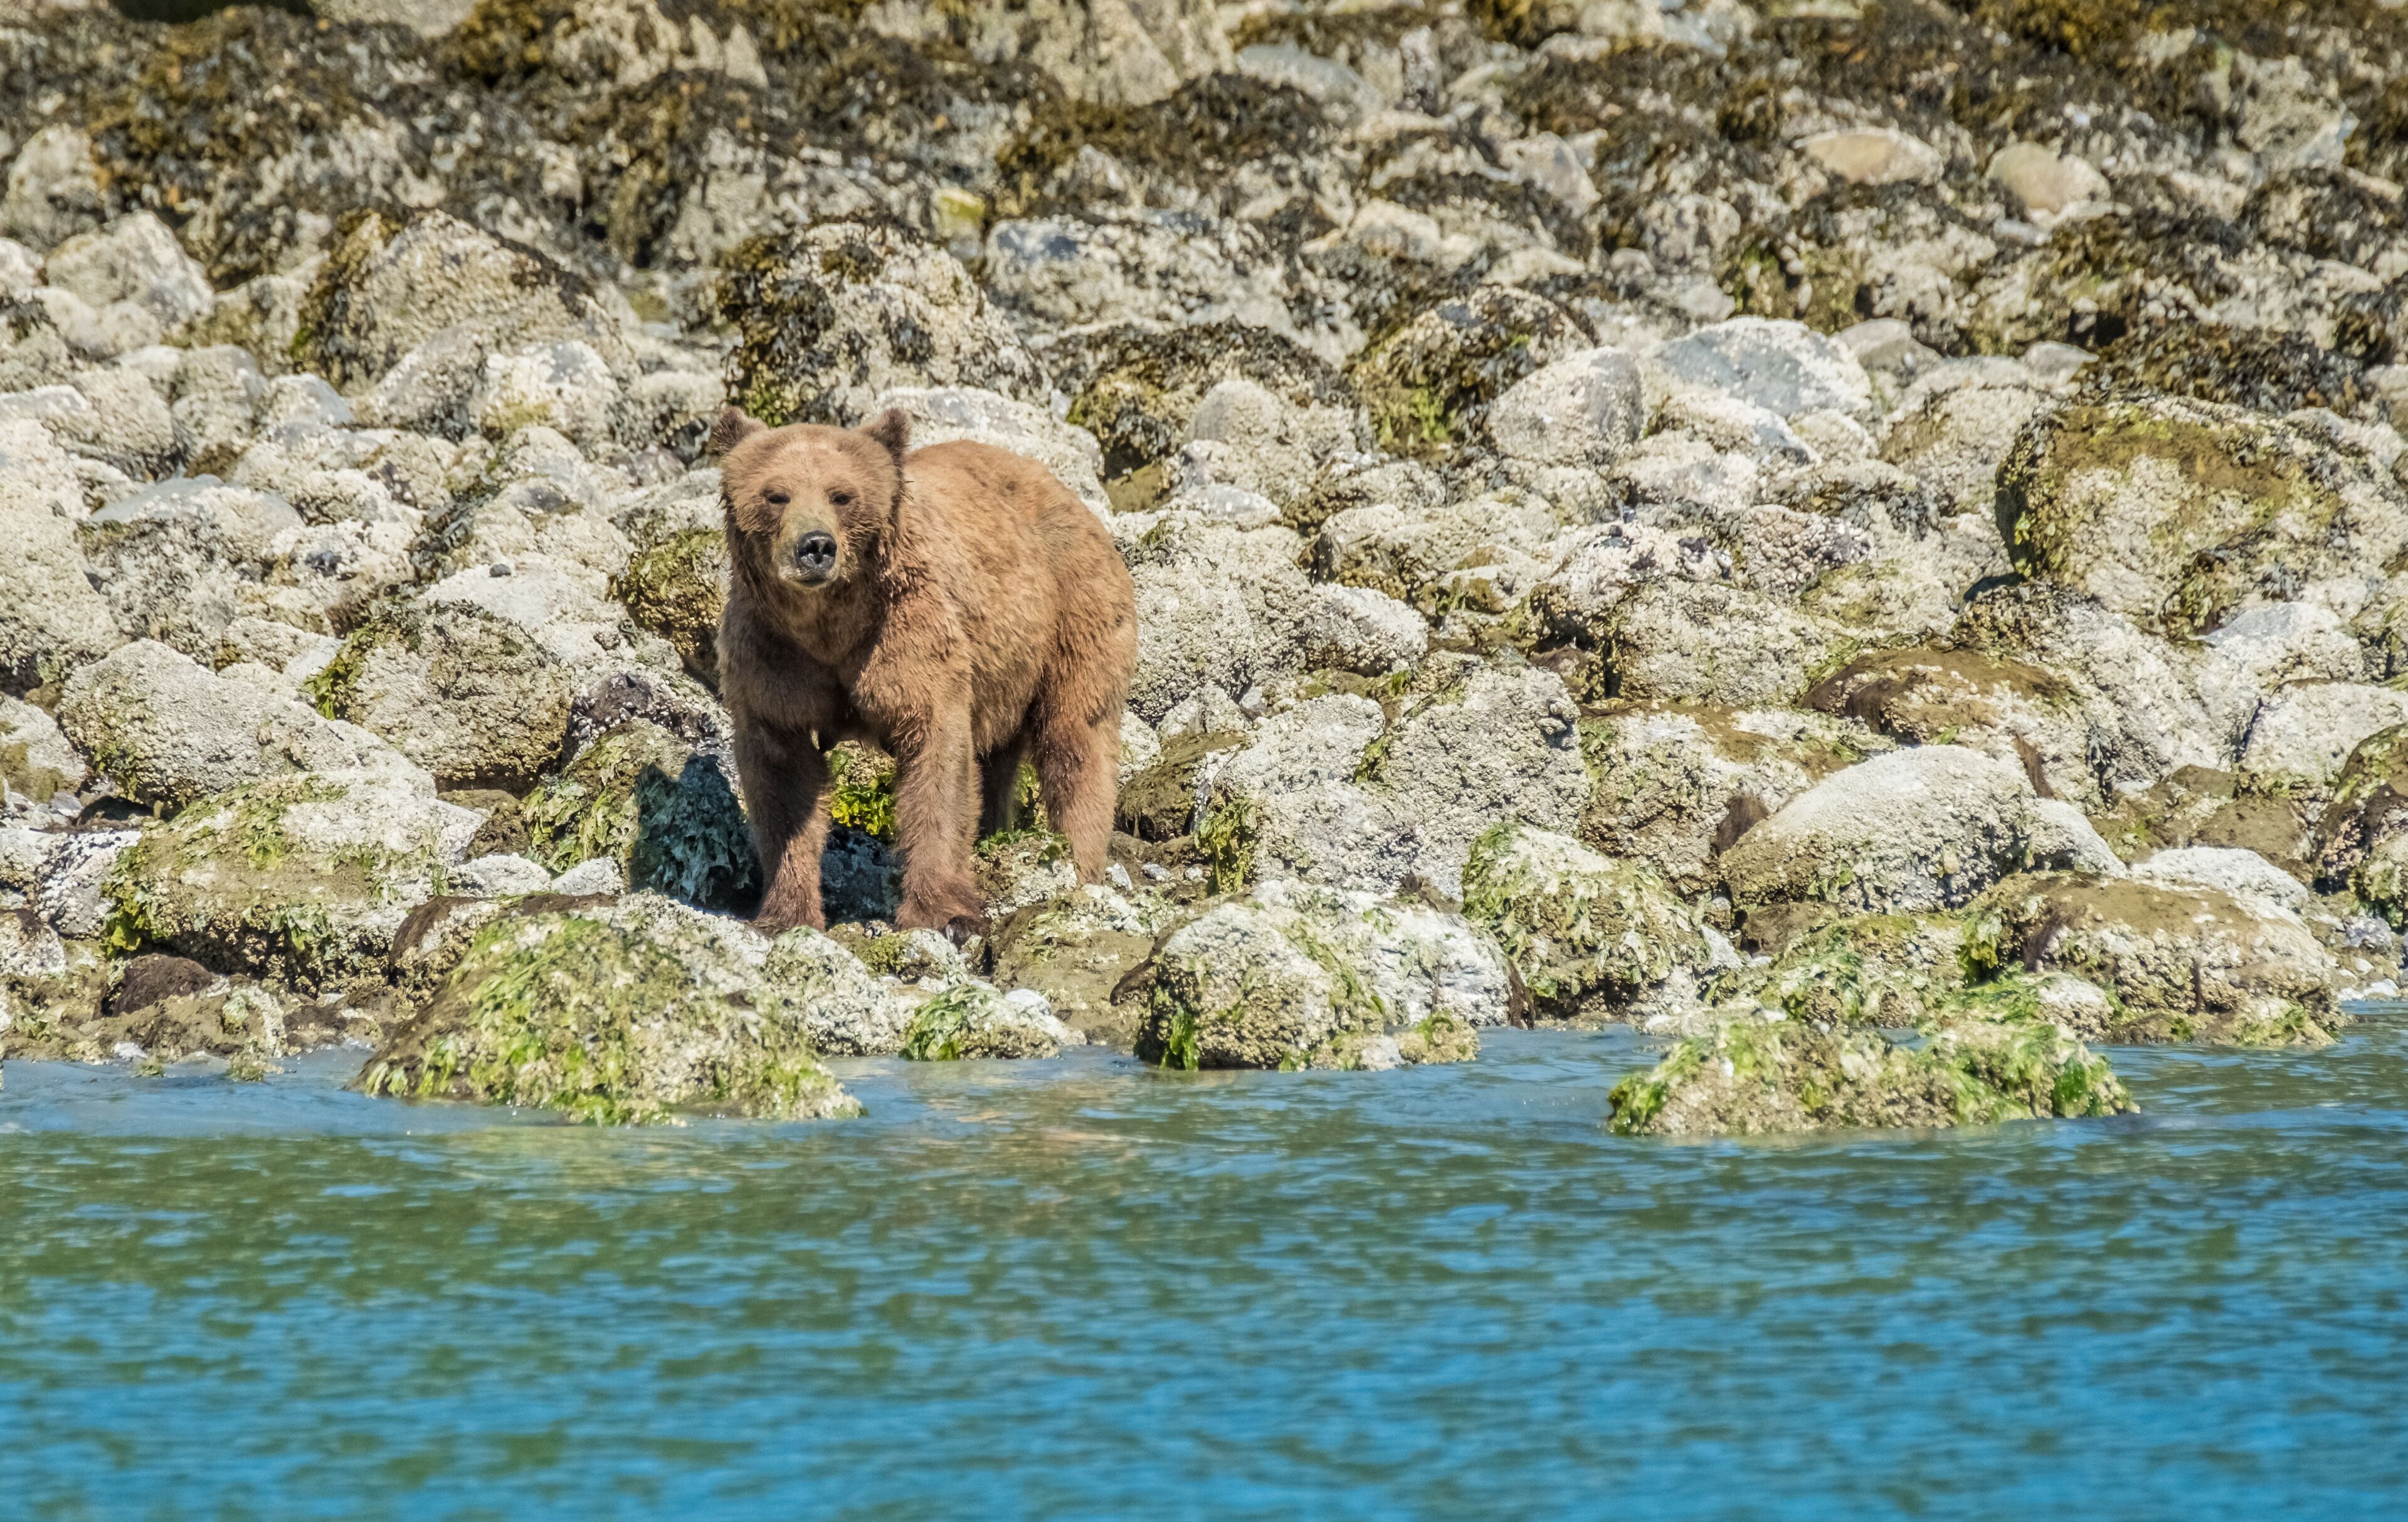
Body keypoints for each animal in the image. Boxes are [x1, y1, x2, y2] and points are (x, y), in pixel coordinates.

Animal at [712, 405, 1138, 942]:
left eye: (842, 495)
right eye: (776, 494)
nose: (815, 547)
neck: (828, 627)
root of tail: (1068, 493)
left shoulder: (907, 637)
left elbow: (937, 762)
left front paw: (944, 913)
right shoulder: (773, 658)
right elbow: (784, 780)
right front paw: (784, 913)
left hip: (1071, 611)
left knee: (1075, 739)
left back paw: (1077, 865)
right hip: (1006, 670)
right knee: (1000, 760)